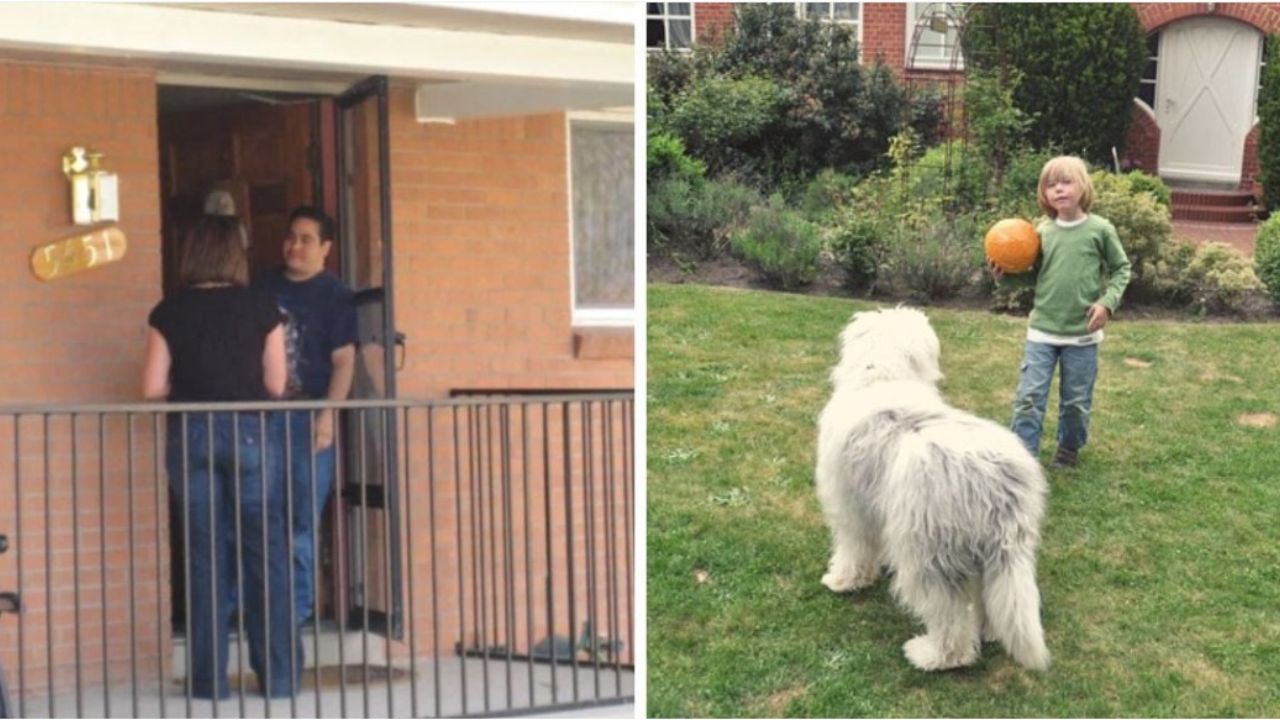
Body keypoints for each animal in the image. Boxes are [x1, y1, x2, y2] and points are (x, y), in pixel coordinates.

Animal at [819, 304, 1049, 671]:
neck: (883, 376)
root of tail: (997, 483)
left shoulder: (850, 507)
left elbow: (854, 550)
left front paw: (842, 581)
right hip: (994, 554)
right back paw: (988, 631)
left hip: (930, 555)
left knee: (949, 618)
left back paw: (931, 655)